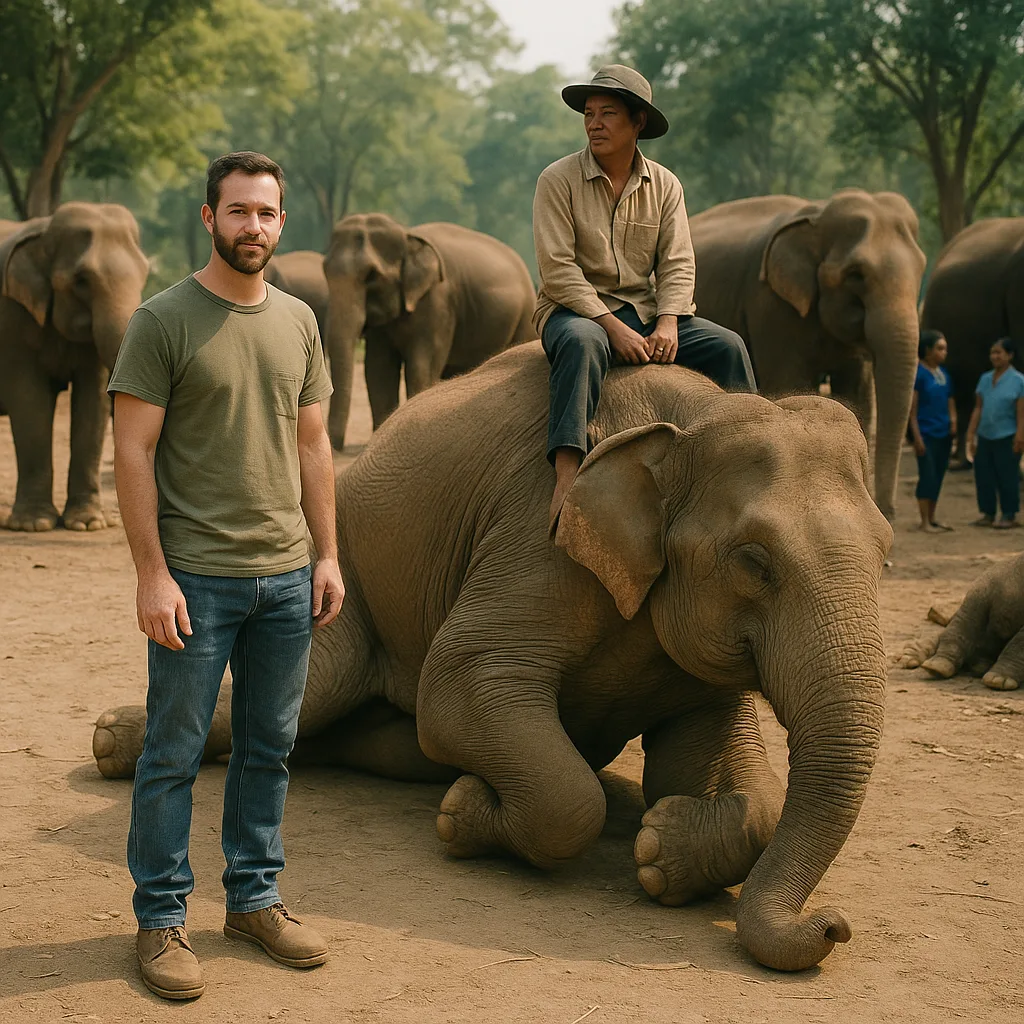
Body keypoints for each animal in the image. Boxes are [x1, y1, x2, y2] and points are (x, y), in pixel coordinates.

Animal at [0, 202, 149, 531]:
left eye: (145, 273)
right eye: (81, 280)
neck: (43, 233)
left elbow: (92, 402)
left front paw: (88, 523)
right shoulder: (12, 316)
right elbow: (28, 399)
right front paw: (34, 525)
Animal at [92, 342, 892, 972]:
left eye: (886, 551)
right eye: (754, 561)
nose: (834, 926)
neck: (690, 421)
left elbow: (732, 783)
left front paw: (660, 851)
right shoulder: (539, 525)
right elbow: (465, 692)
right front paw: (464, 816)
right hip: (340, 574)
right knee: (308, 693)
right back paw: (111, 742)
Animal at [323, 213, 536, 449]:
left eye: (371, 275)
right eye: (325, 271)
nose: (336, 446)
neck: (406, 233)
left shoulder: (438, 301)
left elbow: (421, 365)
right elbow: (378, 370)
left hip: (525, 315)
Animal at [689, 189, 927, 521]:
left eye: (921, 269)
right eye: (856, 275)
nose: (888, 512)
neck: (818, 214)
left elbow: (856, 394)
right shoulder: (771, 305)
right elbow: (790, 384)